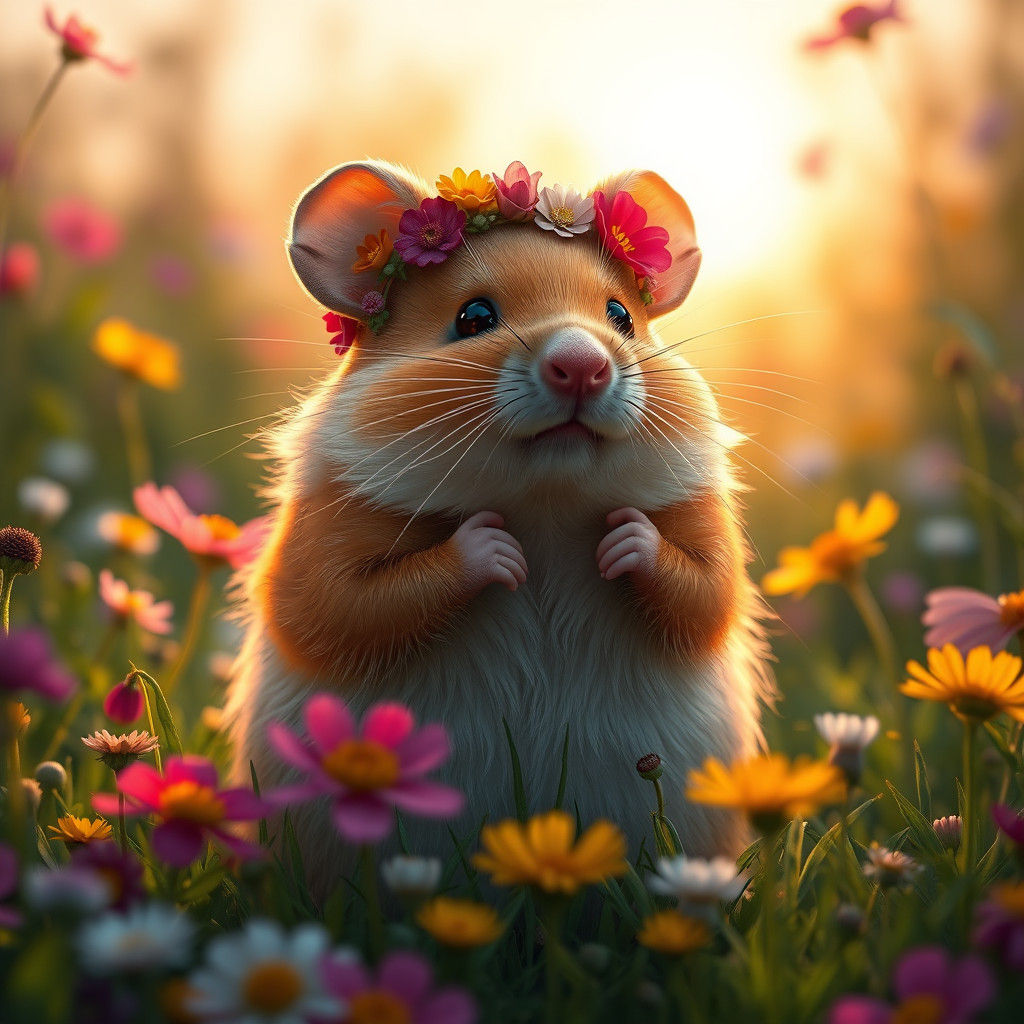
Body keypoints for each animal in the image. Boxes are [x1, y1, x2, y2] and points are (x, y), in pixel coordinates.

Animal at [225, 160, 772, 897]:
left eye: (621, 316)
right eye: (473, 317)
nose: (582, 366)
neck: (545, 499)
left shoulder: (706, 530)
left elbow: (707, 590)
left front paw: (622, 540)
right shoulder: (320, 538)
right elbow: (343, 604)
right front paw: (496, 549)